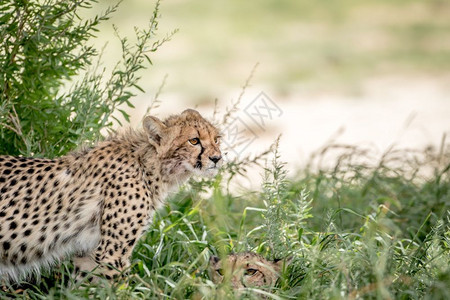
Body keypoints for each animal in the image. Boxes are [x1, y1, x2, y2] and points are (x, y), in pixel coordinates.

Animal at [0, 109, 221, 282]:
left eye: (216, 139)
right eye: (194, 141)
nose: (217, 158)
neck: (148, 165)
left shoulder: (88, 253)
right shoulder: (111, 254)